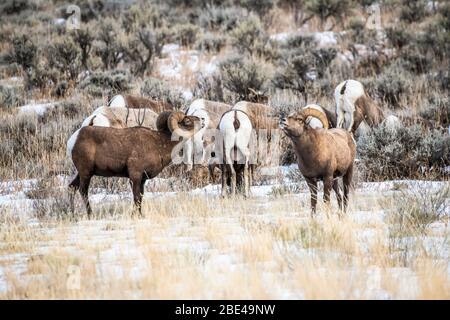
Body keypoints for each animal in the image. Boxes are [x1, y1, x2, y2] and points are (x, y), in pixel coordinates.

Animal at [69, 111, 202, 216]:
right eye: (187, 121)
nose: (202, 119)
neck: (159, 144)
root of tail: (73, 140)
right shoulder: (135, 176)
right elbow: (136, 197)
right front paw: (135, 215)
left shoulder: (142, 179)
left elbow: (140, 198)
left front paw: (140, 215)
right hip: (86, 173)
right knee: (83, 191)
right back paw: (90, 214)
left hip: (81, 173)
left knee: (72, 187)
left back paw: (72, 214)